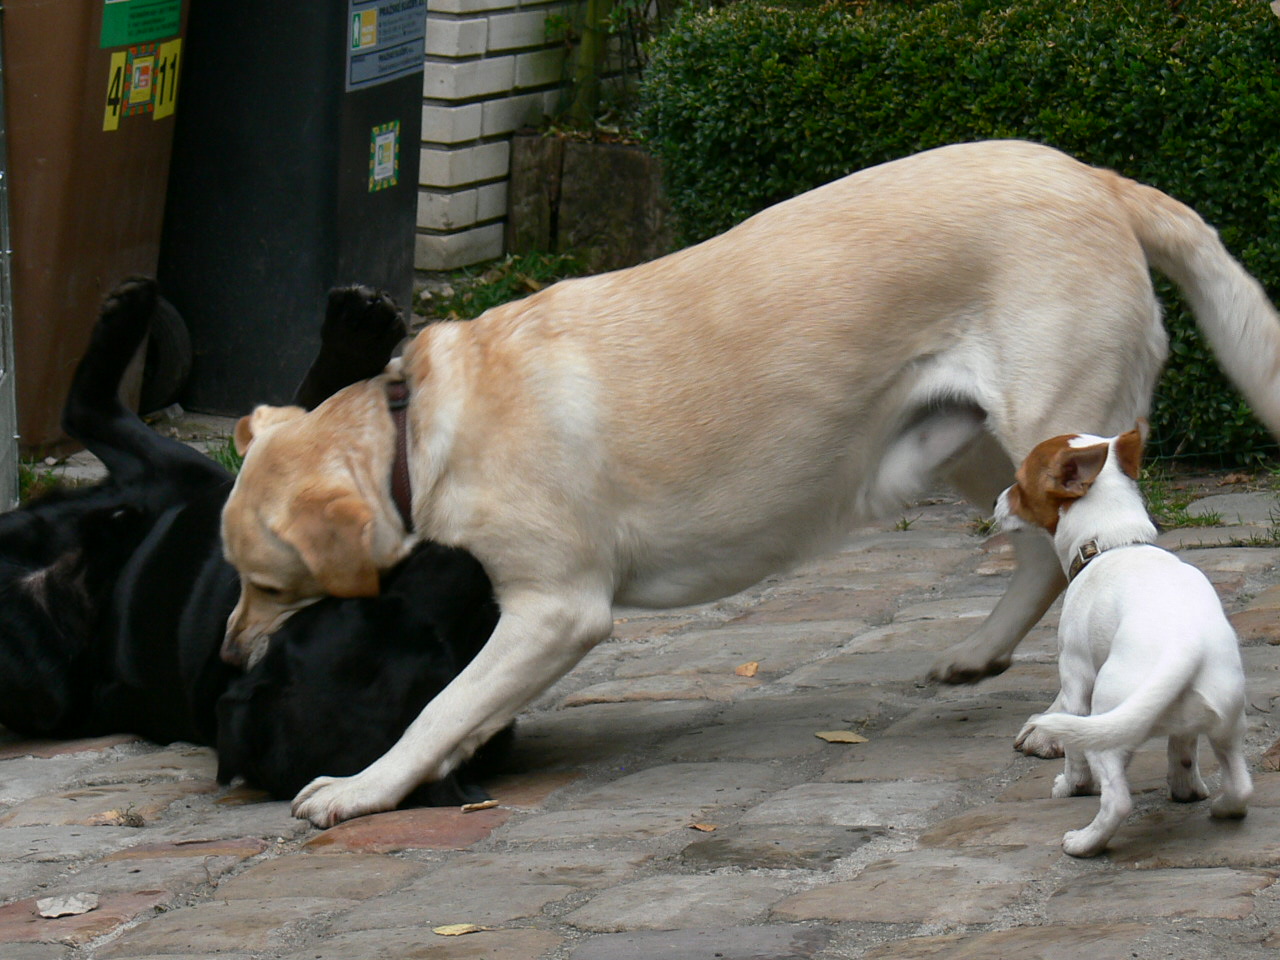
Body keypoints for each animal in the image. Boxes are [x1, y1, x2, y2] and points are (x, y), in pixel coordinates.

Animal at [3, 277, 504, 803]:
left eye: (452, 649)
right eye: (363, 610)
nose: (465, 560)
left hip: (177, 474)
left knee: (86, 414)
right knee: (86, 413)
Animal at [998, 424, 1249, 860]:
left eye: (1018, 484)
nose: (997, 501)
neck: (1112, 542)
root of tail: (1184, 647)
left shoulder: (1074, 680)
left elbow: (1074, 757)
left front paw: (1070, 786)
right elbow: (1183, 751)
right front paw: (1186, 789)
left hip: (1107, 719)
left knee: (1116, 798)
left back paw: (1084, 842)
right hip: (1225, 724)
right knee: (1240, 787)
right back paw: (1220, 806)